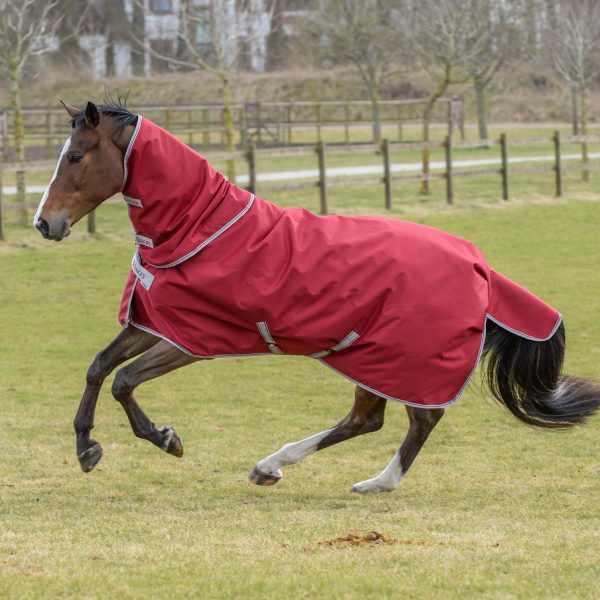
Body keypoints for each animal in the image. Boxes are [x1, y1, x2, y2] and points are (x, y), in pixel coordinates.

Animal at [34, 102, 600, 492]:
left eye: (76, 156)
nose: (44, 223)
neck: (199, 229)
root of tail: (478, 264)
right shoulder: (151, 323)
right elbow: (98, 367)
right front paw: (86, 448)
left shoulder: (190, 341)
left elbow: (124, 381)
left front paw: (166, 439)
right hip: (366, 357)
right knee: (368, 419)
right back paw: (271, 468)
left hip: (395, 359)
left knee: (418, 418)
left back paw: (372, 482)